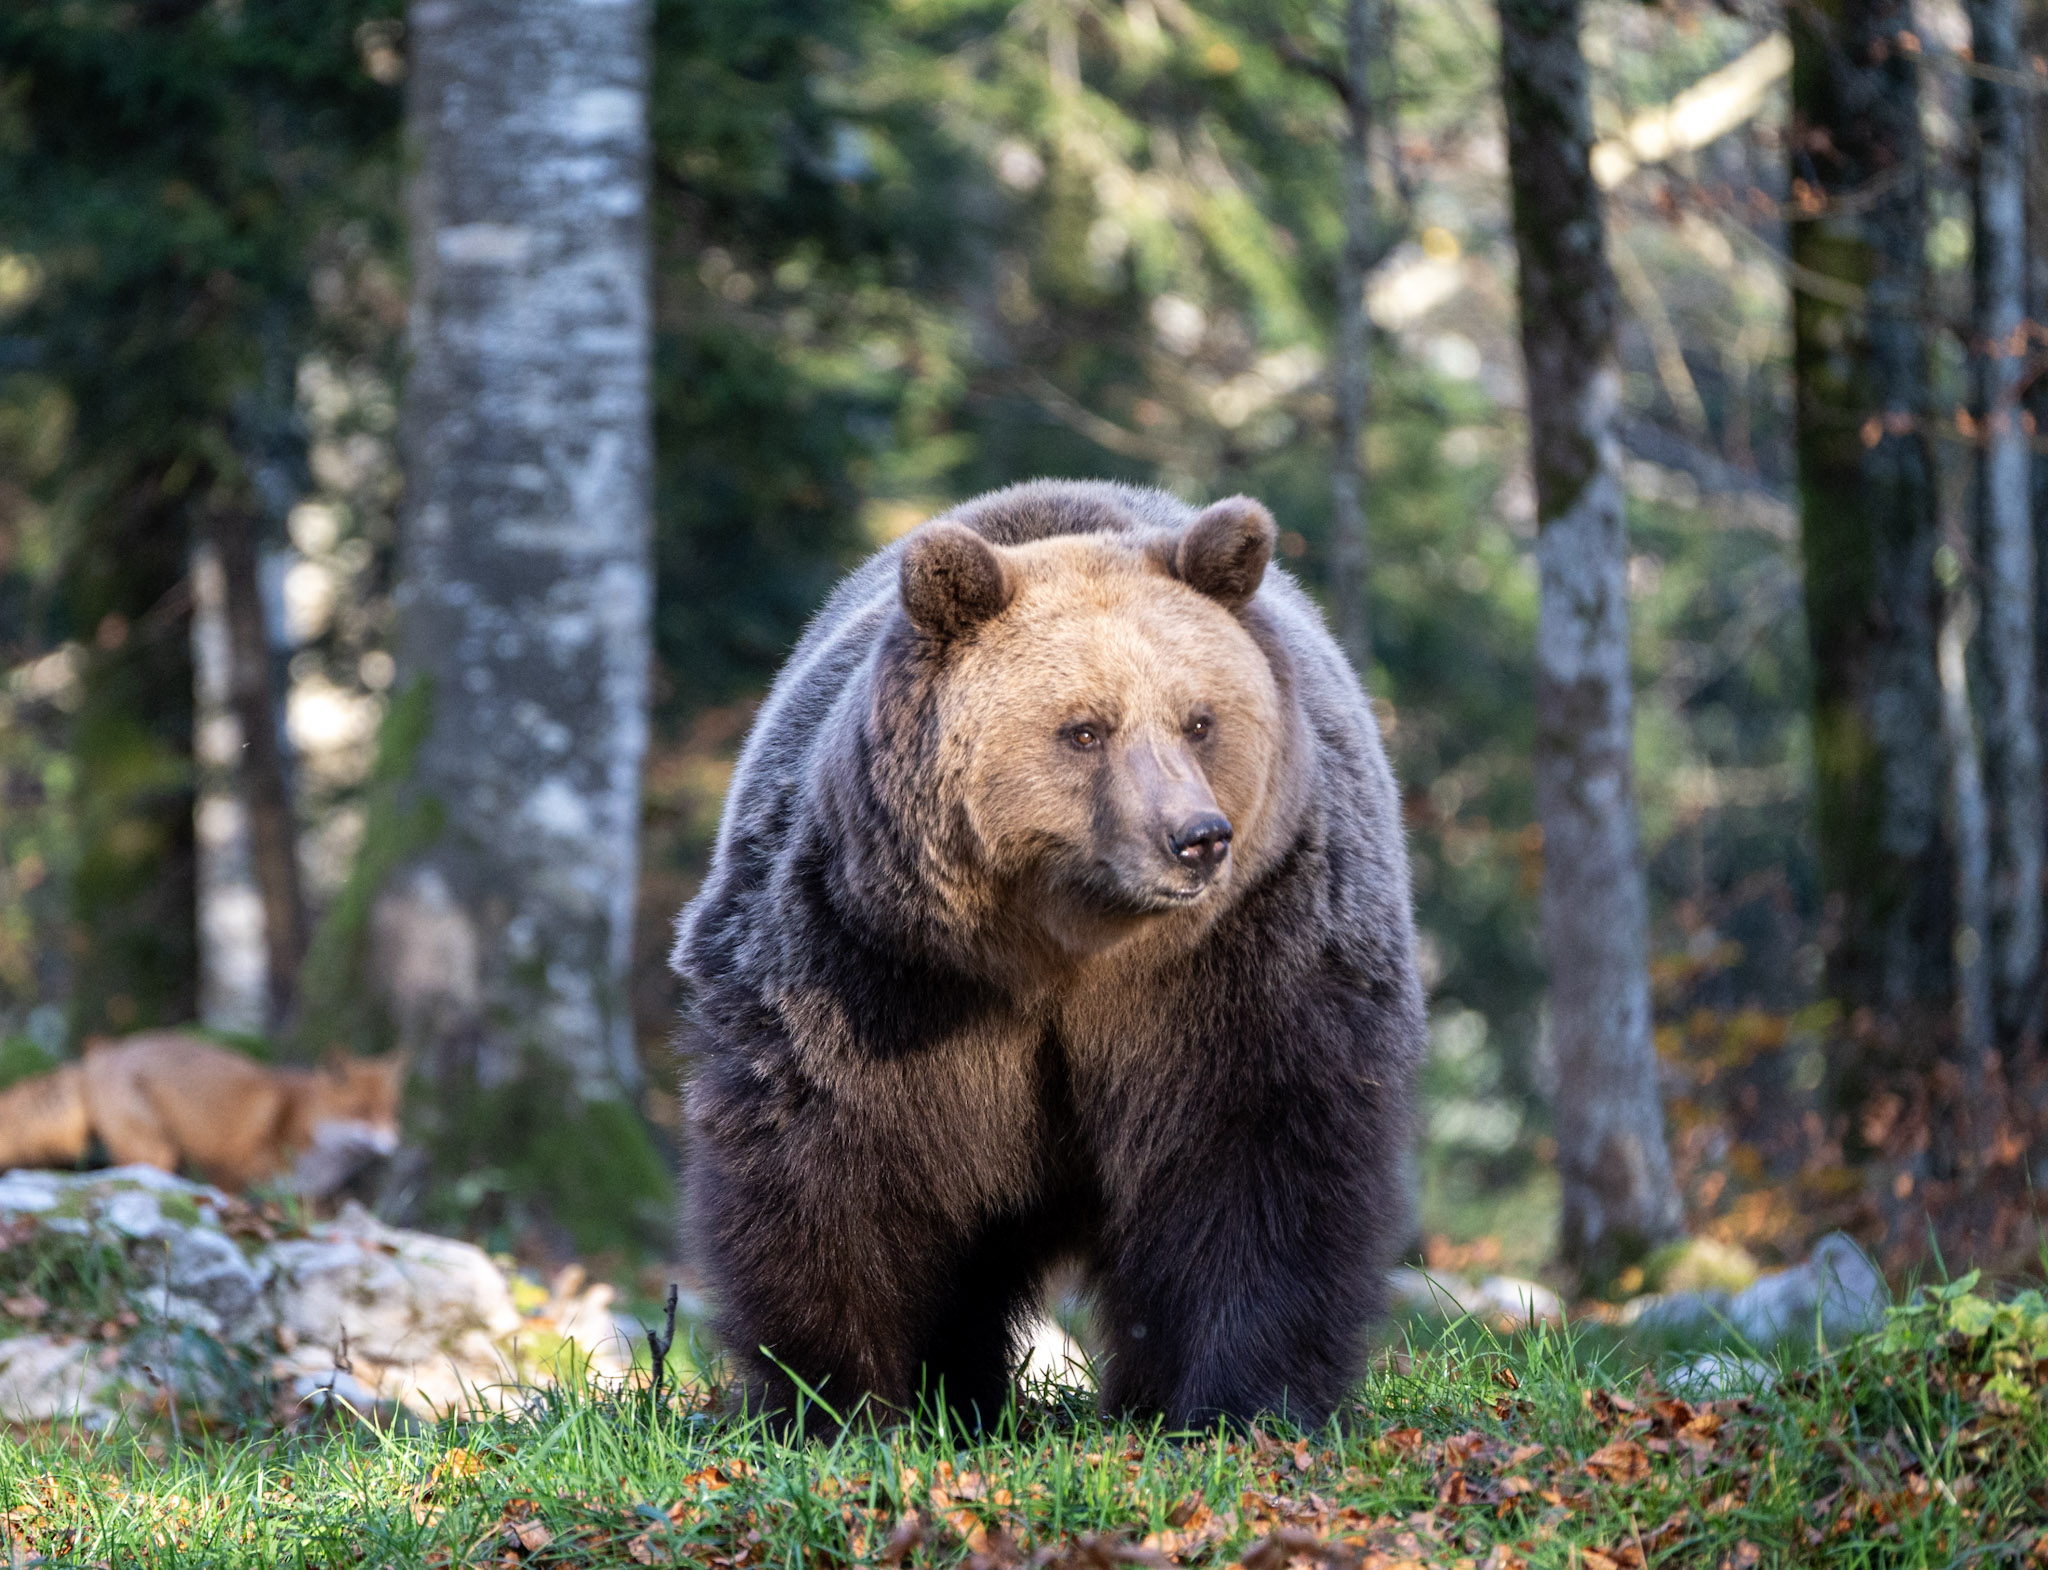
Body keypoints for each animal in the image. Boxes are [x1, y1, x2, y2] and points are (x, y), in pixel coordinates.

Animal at [673, 479, 1424, 1431]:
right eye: (1084, 730)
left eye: (1200, 720)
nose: (1197, 838)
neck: (1071, 947)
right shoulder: (871, 966)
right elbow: (829, 1165)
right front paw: (839, 1401)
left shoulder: (1250, 956)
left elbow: (1261, 1161)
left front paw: (1244, 1403)